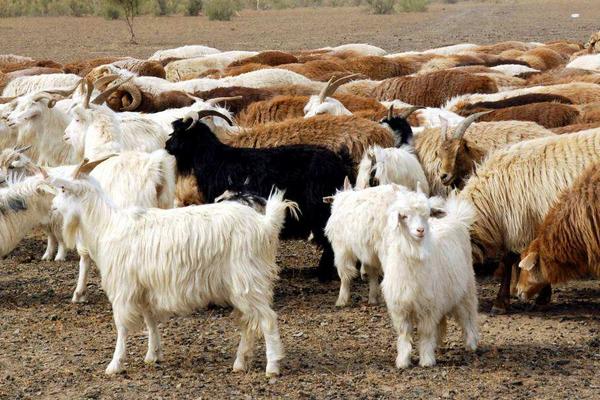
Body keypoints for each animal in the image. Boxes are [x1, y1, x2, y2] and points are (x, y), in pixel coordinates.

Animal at [164, 108, 354, 280]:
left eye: (179, 132)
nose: (167, 145)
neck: (215, 160)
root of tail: (341, 163)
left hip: (320, 209)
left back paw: (323, 274)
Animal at [382, 190, 480, 368]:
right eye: (404, 216)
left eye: (427, 215)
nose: (420, 230)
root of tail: (456, 218)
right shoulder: (401, 307)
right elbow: (404, 335)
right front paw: (403, 360)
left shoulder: (428, 307)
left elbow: (426, 333)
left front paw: (427, 360)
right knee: (442, 321)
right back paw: (439, 344)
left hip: (466, 289)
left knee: (468, 316)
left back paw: (471, 344)